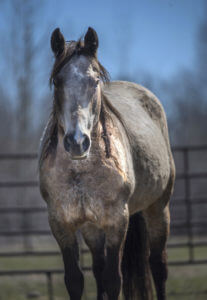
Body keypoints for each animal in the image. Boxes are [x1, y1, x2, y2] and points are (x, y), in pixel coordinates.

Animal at [38, 26, 175, 300]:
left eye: (95, 81)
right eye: (57, 81)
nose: (77, 142)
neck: (80, 169)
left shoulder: (116, 221)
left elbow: (114, 280)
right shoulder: (61, 223)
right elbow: (76, 280)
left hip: (158, 207)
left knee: (158, 266)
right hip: (92, 226)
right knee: (99, 268)